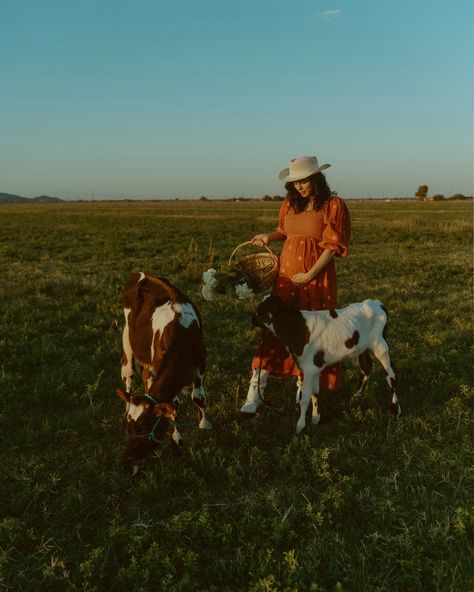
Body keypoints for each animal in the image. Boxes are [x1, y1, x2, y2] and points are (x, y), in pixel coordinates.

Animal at [115, 270, 212, 474]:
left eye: (144, 427)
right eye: (128, 426)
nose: (127, 465)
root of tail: (141, 274)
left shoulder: (201, 367)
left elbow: (198, 398)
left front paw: (204, 425)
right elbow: (174, 404)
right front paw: (177, 441)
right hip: (128, 340)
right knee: (128, 374)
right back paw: (127, 400)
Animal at [252, 296, 400, 434]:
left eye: (260, 310)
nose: (251, 318)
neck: (298, 329)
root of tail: (376, 303)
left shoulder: (309, 368)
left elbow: (305, 396)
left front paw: (300, 425)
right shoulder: (314, 368)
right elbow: (314, 392)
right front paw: (315, 418)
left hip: (381, 347)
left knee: (391, 376)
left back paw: (396, 410)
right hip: (361, 348)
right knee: (366, 367)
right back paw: (357, 395)